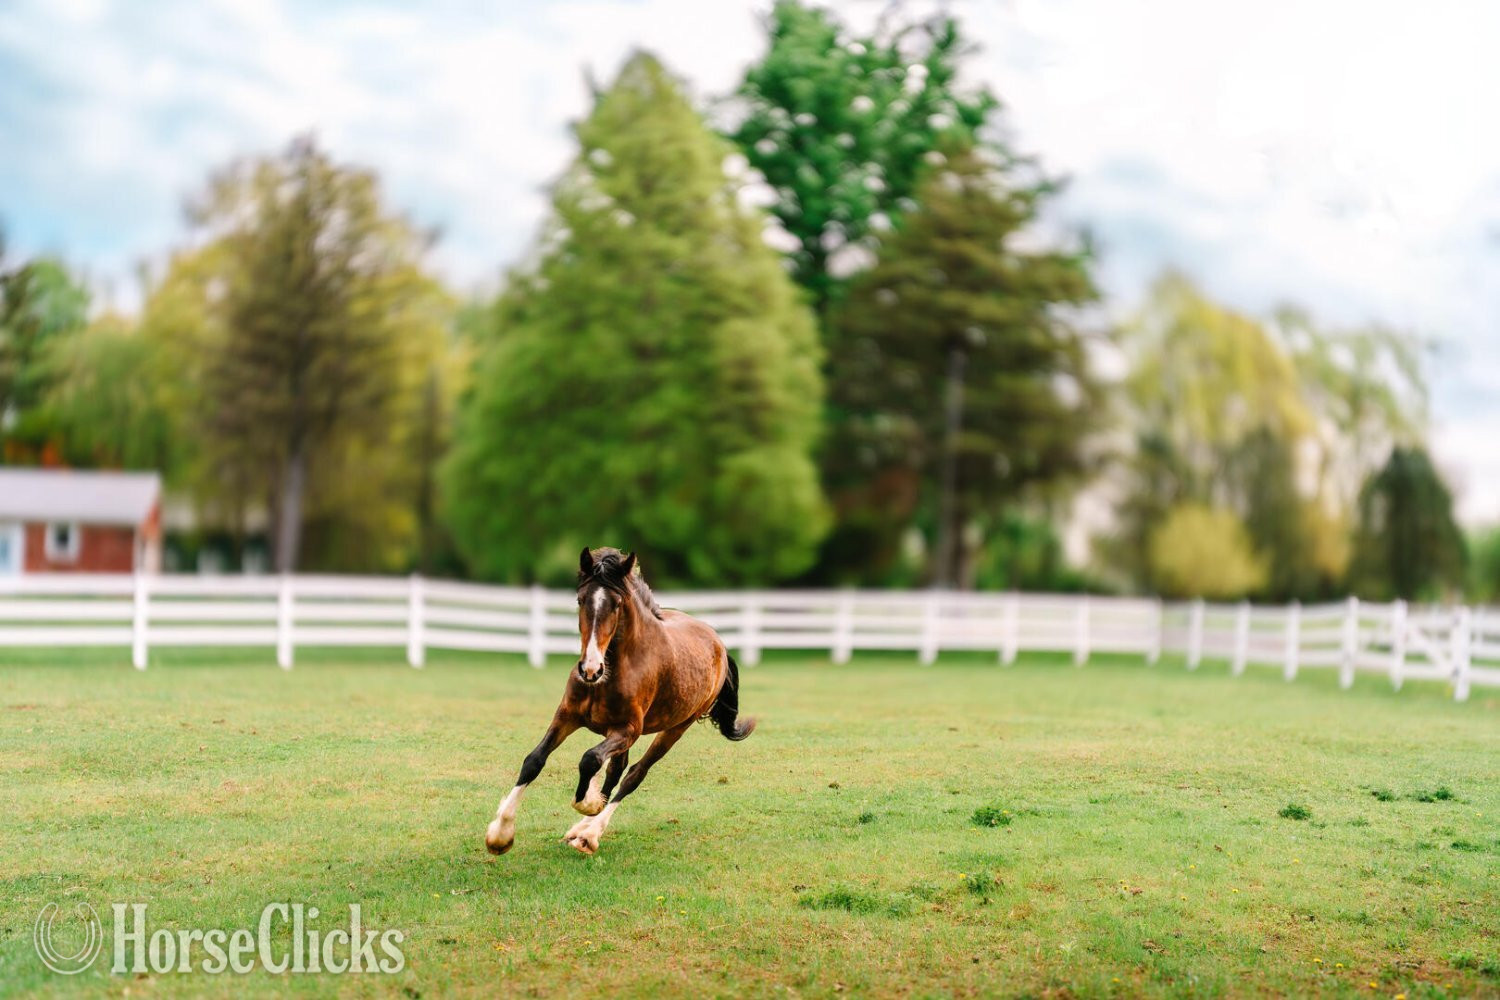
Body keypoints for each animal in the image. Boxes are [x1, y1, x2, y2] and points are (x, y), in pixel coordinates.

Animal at [484, 546, 756, 856]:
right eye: (580, 599)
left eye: (616, 604)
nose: (590, 670)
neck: (614, 670)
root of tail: (719, 643)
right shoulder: (567, 715)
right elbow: (534, 760)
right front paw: (500, 835)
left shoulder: (628, 730)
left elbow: (590, 760)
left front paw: (589, 803)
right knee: (617, 769)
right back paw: (580, 829)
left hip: (675, 728)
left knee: (634, 774)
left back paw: (590, 833)